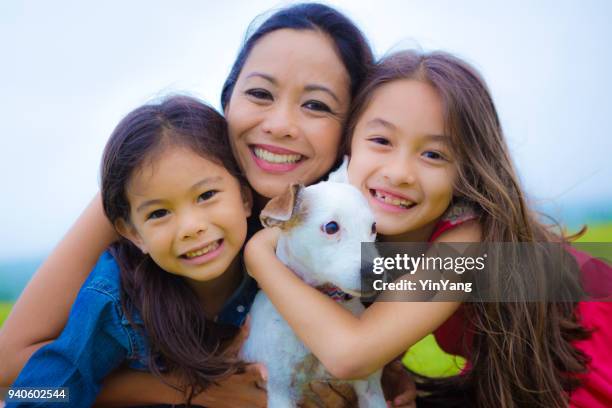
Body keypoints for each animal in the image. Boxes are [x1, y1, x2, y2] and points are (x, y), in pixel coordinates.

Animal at [241, 161, 384, 406]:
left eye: (373, 227)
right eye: (331, 227)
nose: (376, 274)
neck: (325, 304)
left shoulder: (370, 387)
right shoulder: (280, 387)